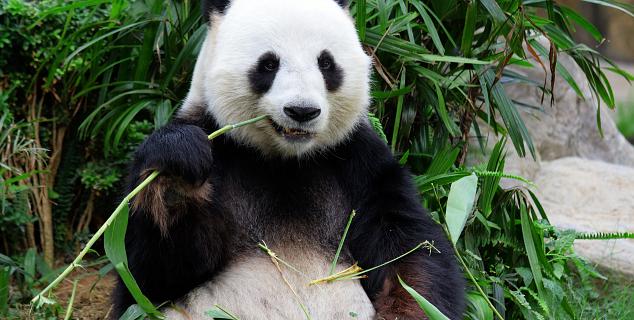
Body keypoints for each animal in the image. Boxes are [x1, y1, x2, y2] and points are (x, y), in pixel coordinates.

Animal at [110, 0, 464, 318]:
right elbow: (149, 275)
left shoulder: (359, 162)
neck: (284, 161)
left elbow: (409, 251)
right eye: (268, 64)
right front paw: (176, 174)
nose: (302, 111)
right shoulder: (217, 141)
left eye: (326, 63)